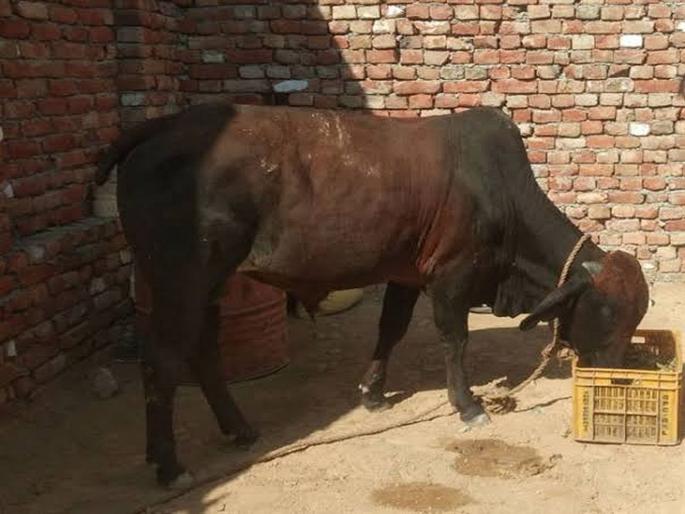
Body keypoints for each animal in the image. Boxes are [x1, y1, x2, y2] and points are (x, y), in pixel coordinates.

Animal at [96, 104, 649, 488]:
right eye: (606, 312)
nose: (618, 376)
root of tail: (162, 125)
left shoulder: (406, 274)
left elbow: (391, 331)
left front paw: (373, 393)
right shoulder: (452, 275)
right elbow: (455, 340)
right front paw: (468, 405)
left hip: (210, 282)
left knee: (204, 351)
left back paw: (239, 430)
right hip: (181, 280)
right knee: (160, 361)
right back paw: (170, 464)